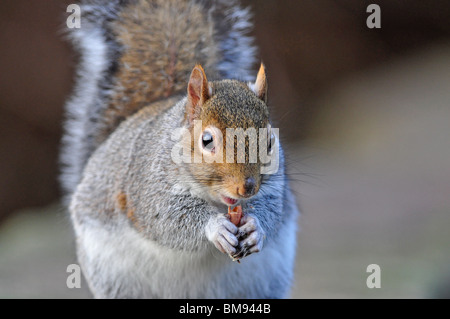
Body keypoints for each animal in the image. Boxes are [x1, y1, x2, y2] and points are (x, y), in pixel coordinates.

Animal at [59, 0, 298, 300]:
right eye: (207, 141)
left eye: (269, 142)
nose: (247, 187)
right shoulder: (148, 186)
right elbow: (169, 218)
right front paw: (215, 227)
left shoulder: (274, 187)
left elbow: (272, 209)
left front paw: (256, 227)